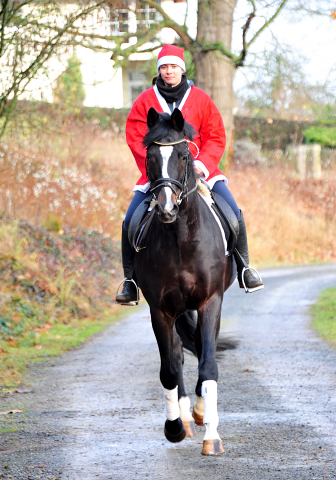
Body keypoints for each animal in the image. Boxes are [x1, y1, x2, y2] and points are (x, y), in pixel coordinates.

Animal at [133, 107, 234, 456]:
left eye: (183, 155)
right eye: (150, 156)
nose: (166, 207)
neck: (181, 238)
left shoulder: (210, 302)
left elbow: (208, 363)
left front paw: (212, 434)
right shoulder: (160, 310)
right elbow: (169, 368)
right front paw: (174, 426)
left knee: (200, 350)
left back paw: (200, 414)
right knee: (176, 356)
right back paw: (186, 418)